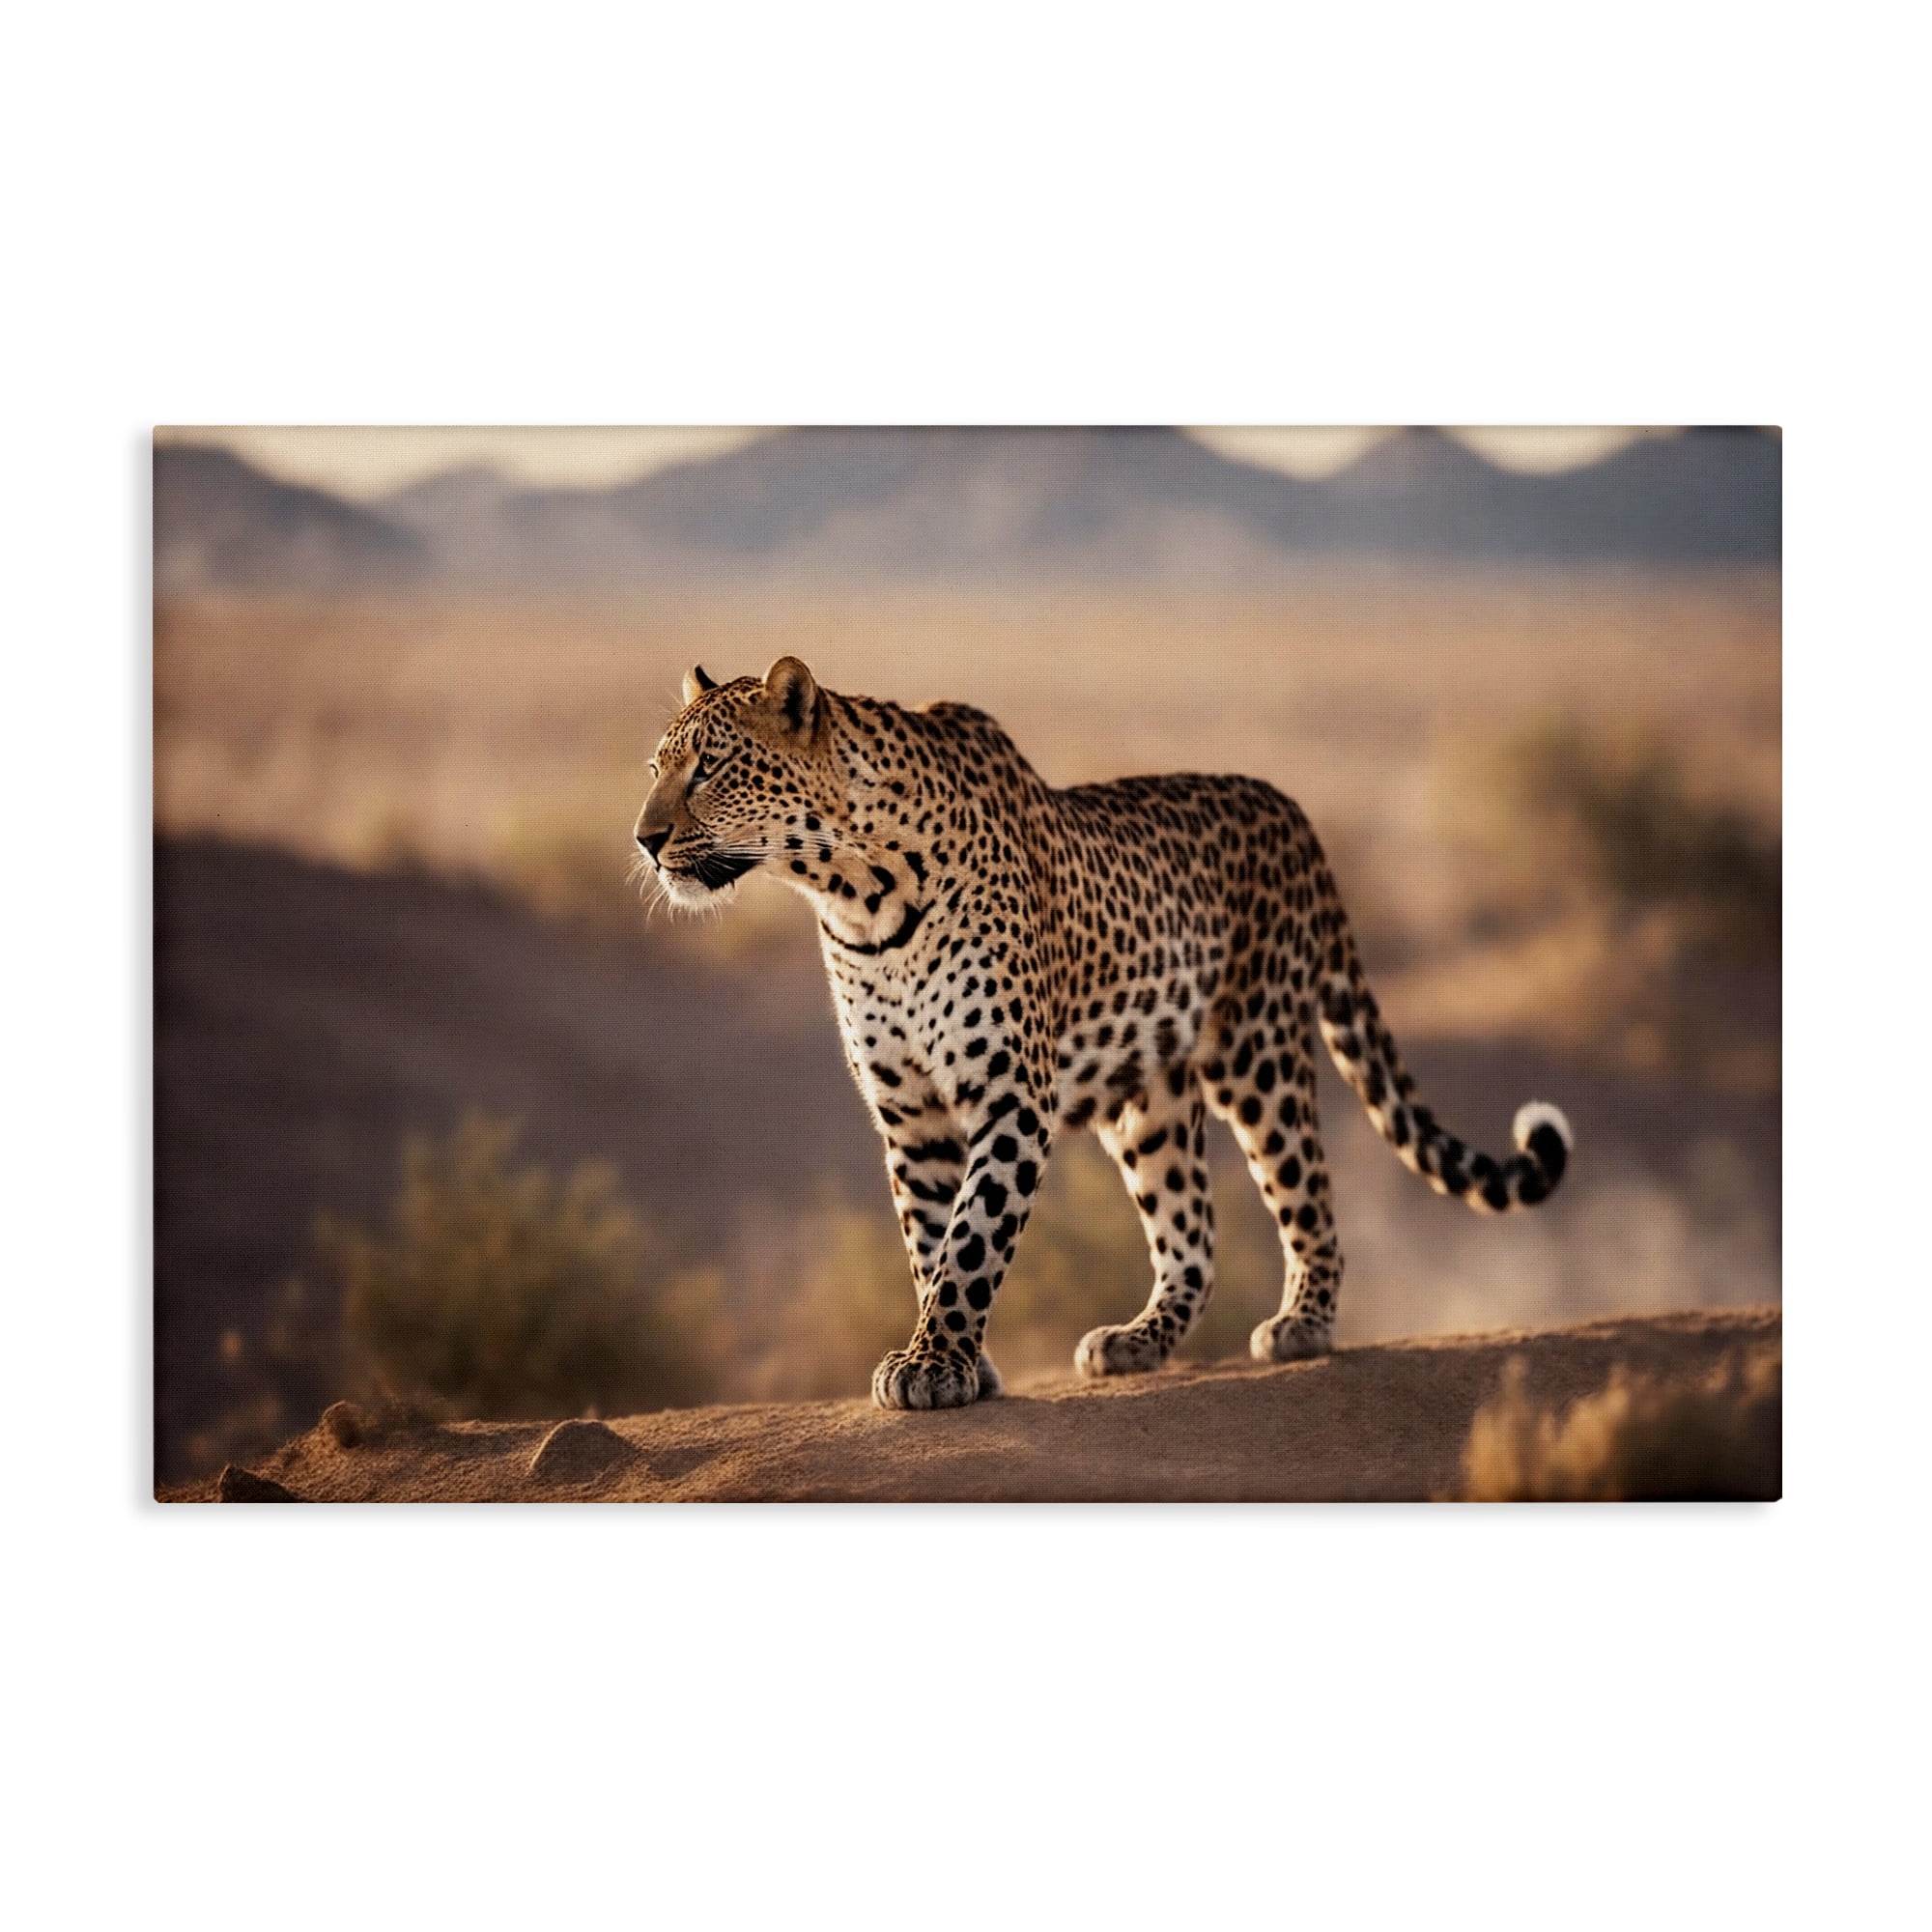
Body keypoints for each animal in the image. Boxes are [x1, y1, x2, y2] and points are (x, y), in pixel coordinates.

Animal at [634, 656, 1573, 1411]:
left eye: (711, 767)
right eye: (656, 767)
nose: (644, 839)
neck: (851, 893)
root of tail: (1292, 810)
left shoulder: (1010, 1095)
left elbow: (973, 1238)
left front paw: (936, 1365)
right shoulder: (913, 1114)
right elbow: (929, 1240)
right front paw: (958, 1364)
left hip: (1258, 1053)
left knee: (1306, 1191)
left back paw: (1303, 1324)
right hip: (1150, 1102)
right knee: (1193, 1234)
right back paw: (1138, 1340)